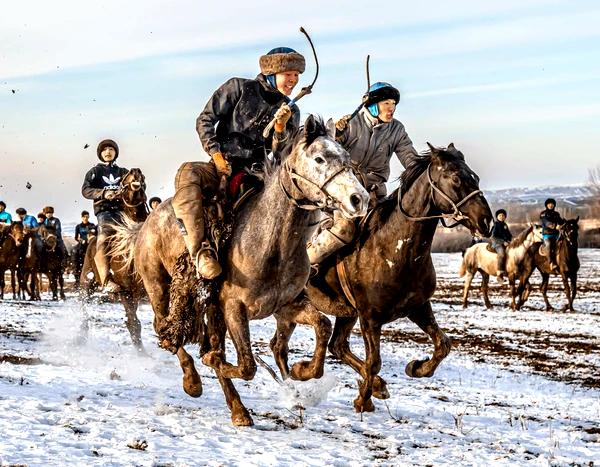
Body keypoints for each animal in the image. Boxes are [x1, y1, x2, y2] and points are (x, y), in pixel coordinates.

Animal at [79, 169, 149, 352]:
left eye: (144, 179)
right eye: (125, 178)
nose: (135, 171)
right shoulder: (125, 291)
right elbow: (134, 323)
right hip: (86, 282)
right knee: (83, 307)